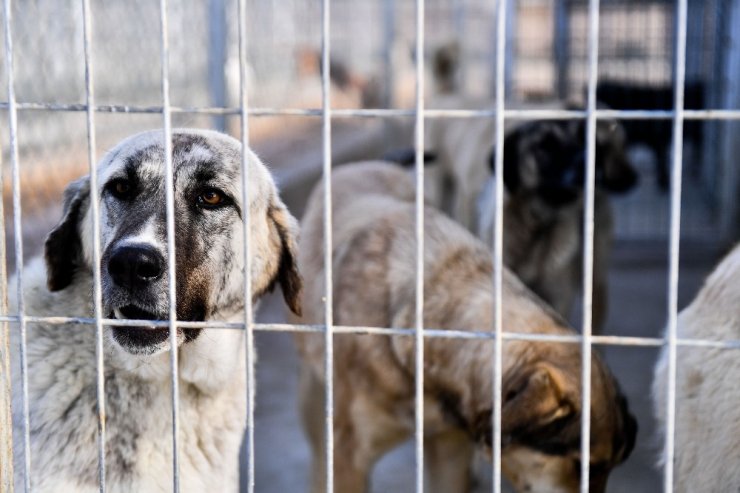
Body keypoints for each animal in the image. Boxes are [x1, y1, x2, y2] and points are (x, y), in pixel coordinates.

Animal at [476, 117, 640, 328]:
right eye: (545, 146)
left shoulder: (559, 299)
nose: (587, 162)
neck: (536, 228)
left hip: (595, 277)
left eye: (582, 140)